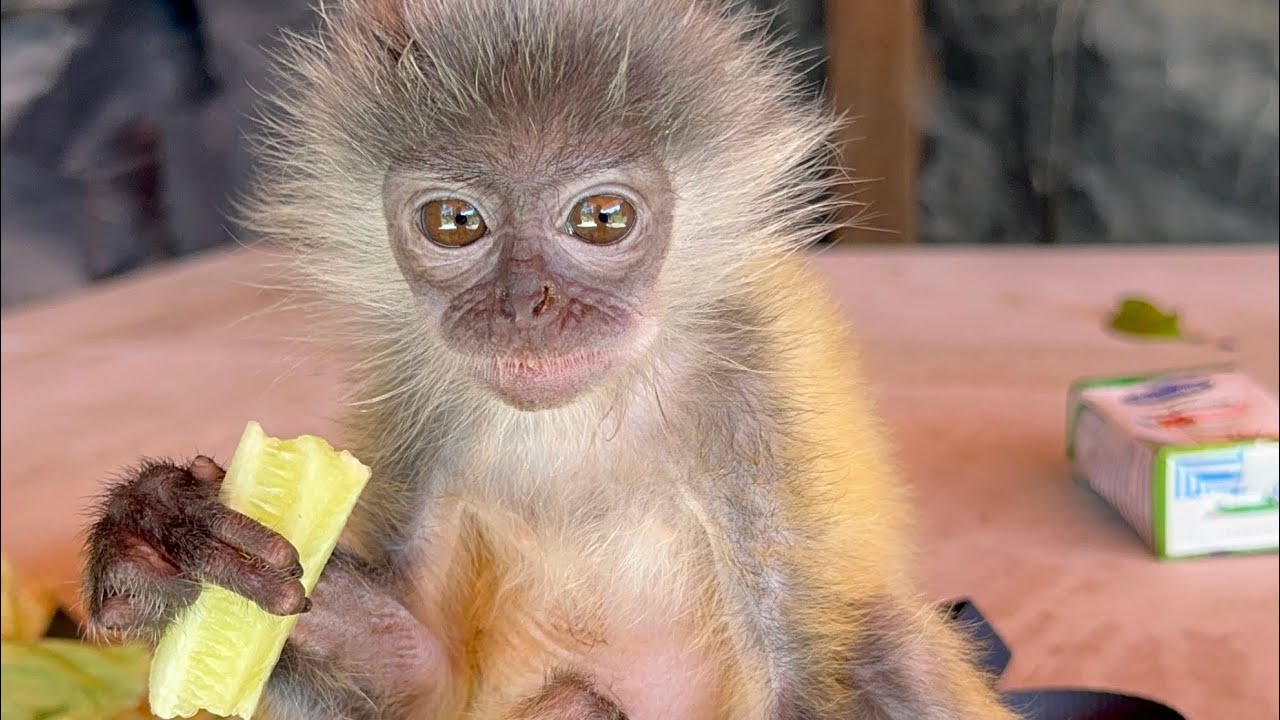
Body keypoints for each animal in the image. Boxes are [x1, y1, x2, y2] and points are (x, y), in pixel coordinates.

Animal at [80, 1, 1021, 718]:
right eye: (455, 222)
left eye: (601, 220)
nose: (524, 306)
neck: (587, 418)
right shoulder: (418, 404)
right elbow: (426, 683)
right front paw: (158, 538)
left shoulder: (757, 383)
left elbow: (808, 671)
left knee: (883, 644)